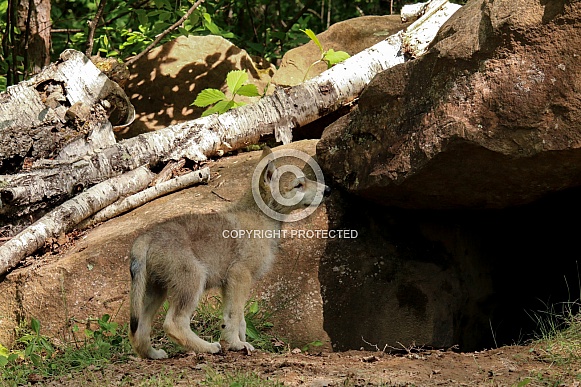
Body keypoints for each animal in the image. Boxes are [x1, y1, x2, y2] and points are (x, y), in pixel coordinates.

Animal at [127, 147, 330, 360]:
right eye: (298, 185)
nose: (328, 190)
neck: (260, 218)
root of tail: (146, 237)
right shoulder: (240, 276)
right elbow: (235, 315)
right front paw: (236, 344)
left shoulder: (229, 283)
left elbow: (237, 319)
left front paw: (240, 342)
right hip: (193, 281)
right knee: (174, 323)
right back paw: (208, 347)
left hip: (156, 291)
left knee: (138, 330)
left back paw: (153, 354)